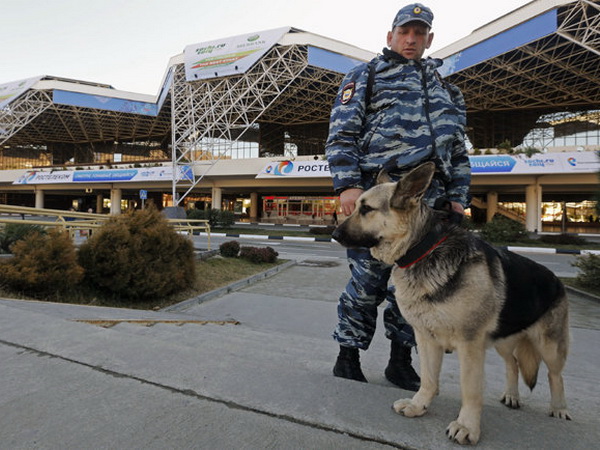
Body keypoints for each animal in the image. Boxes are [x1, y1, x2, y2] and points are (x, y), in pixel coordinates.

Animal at [332, 163, 572, 446]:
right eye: (356, 206)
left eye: (366, 209)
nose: (334, 233)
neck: (422, 249)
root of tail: (556, 280)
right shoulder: (426, 338)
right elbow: (428, 379)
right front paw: (419, 405)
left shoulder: (470, 345)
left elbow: (470, 390)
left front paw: (467, 426)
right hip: (504, 339)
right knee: (512, 363)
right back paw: (513, 395)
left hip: (549, 346)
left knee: (554, 375)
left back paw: (559, 408)